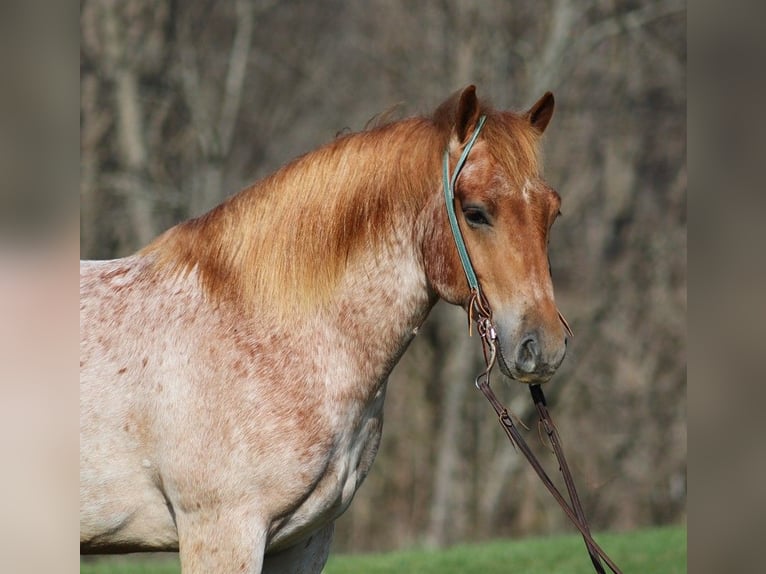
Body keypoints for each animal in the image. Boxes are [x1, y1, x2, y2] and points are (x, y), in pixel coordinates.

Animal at [81, 86, 568, 574]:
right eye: (475, 212)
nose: (544, 347)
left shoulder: (304, 539)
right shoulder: (223, 531)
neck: (266, 331)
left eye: (552, 212)